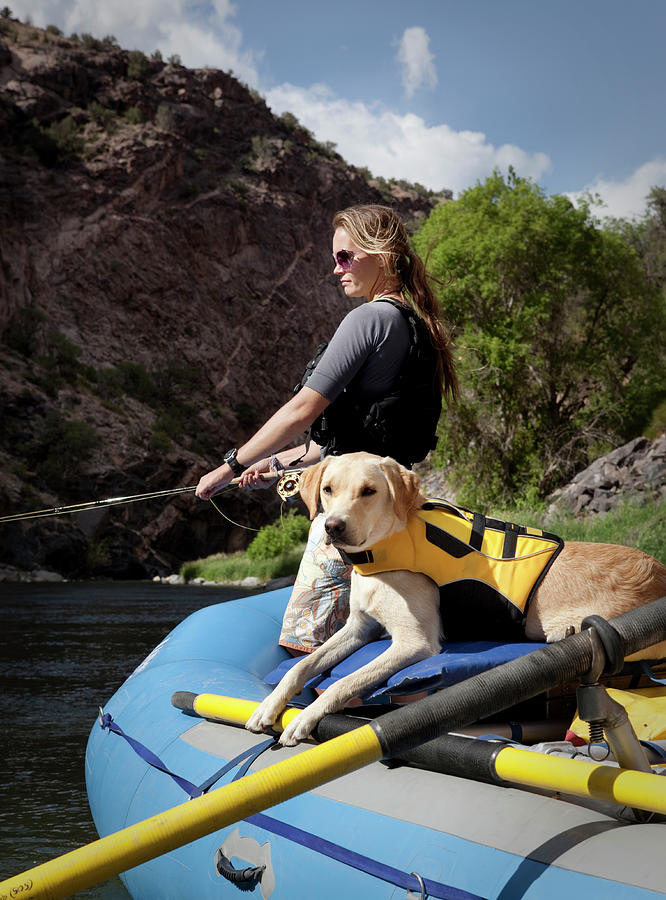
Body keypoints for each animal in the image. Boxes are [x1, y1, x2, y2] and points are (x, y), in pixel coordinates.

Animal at [246, 450, 664, 744]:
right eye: (328, 489)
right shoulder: (360, 628)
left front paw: (304, 718)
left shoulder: (414, 642)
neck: (385, 550)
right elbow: (302, 666)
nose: (333, 527)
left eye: (369, 491)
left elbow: (341, 682)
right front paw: (269, 706)